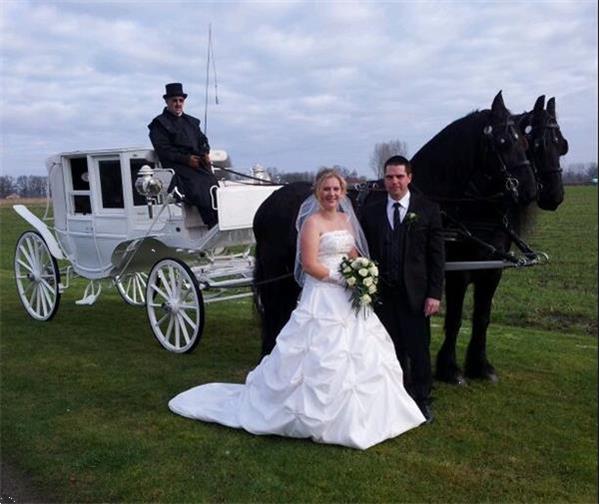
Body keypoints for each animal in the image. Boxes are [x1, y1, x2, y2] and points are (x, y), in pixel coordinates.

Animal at [254, 92, 540, 362]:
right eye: (503, 142)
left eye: (524, 142)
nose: (530, 189)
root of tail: (267, 202)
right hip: (275, 269)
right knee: (272, 306)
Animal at [432, 94, 568, 384]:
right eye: (537, 145)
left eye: (562, 145)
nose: (553, 195)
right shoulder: (458, 271)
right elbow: (455, 317)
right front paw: (449, 369)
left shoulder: (493, 269)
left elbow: (483, 316)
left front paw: (480, 366)